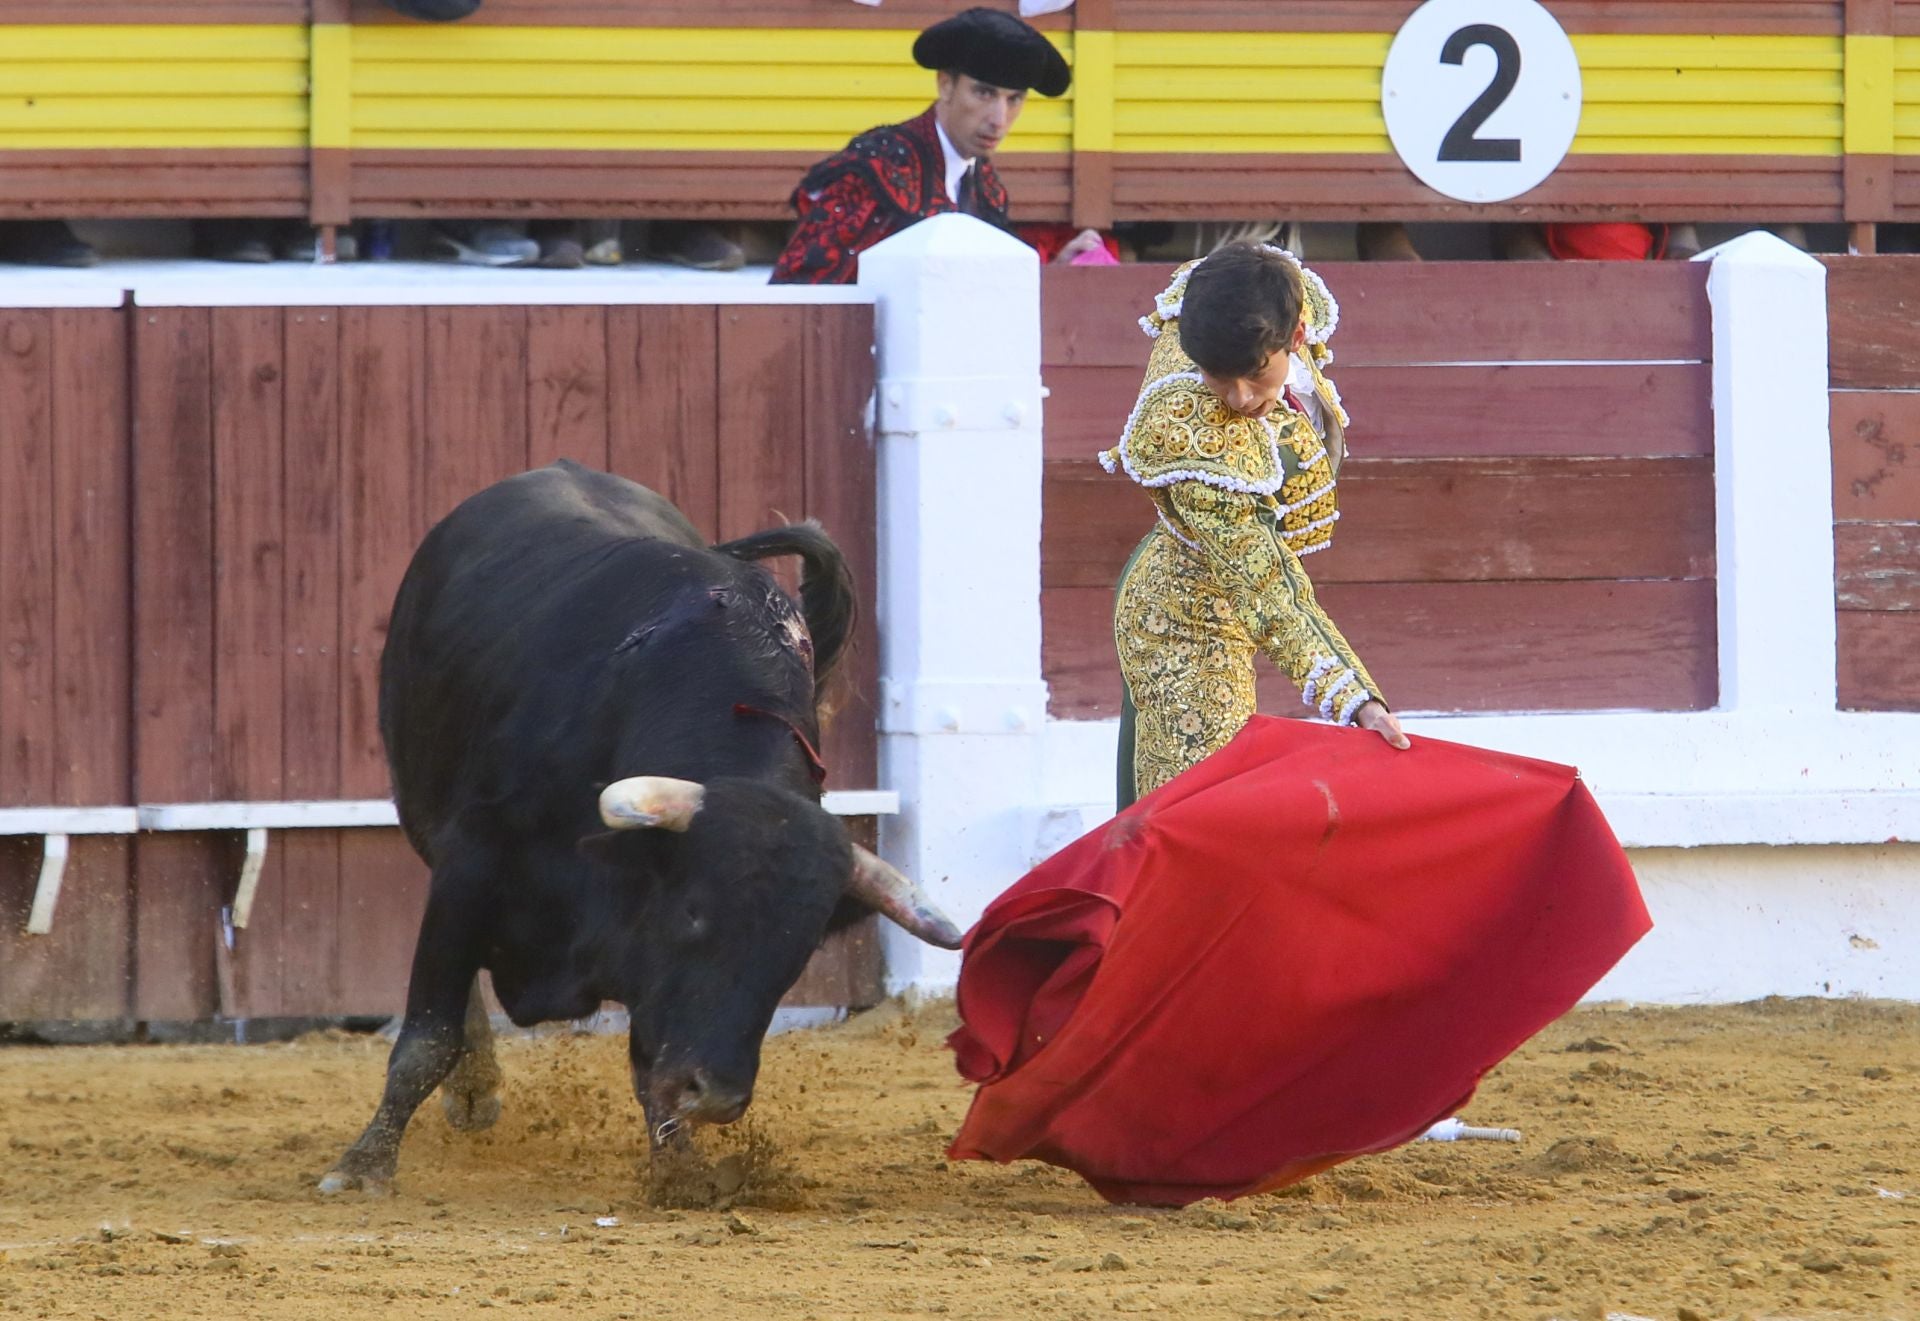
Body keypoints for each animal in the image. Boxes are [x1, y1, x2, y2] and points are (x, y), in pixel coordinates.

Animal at [324, 464, 975, 1198]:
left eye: (800, 949)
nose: (715, 1095)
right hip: (420, 813)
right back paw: (472, 1089)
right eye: (692, 913)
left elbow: (650, 1059)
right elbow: (426, 1036)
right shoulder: (469, 863)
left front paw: (682, 1169)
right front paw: (363, 1166)